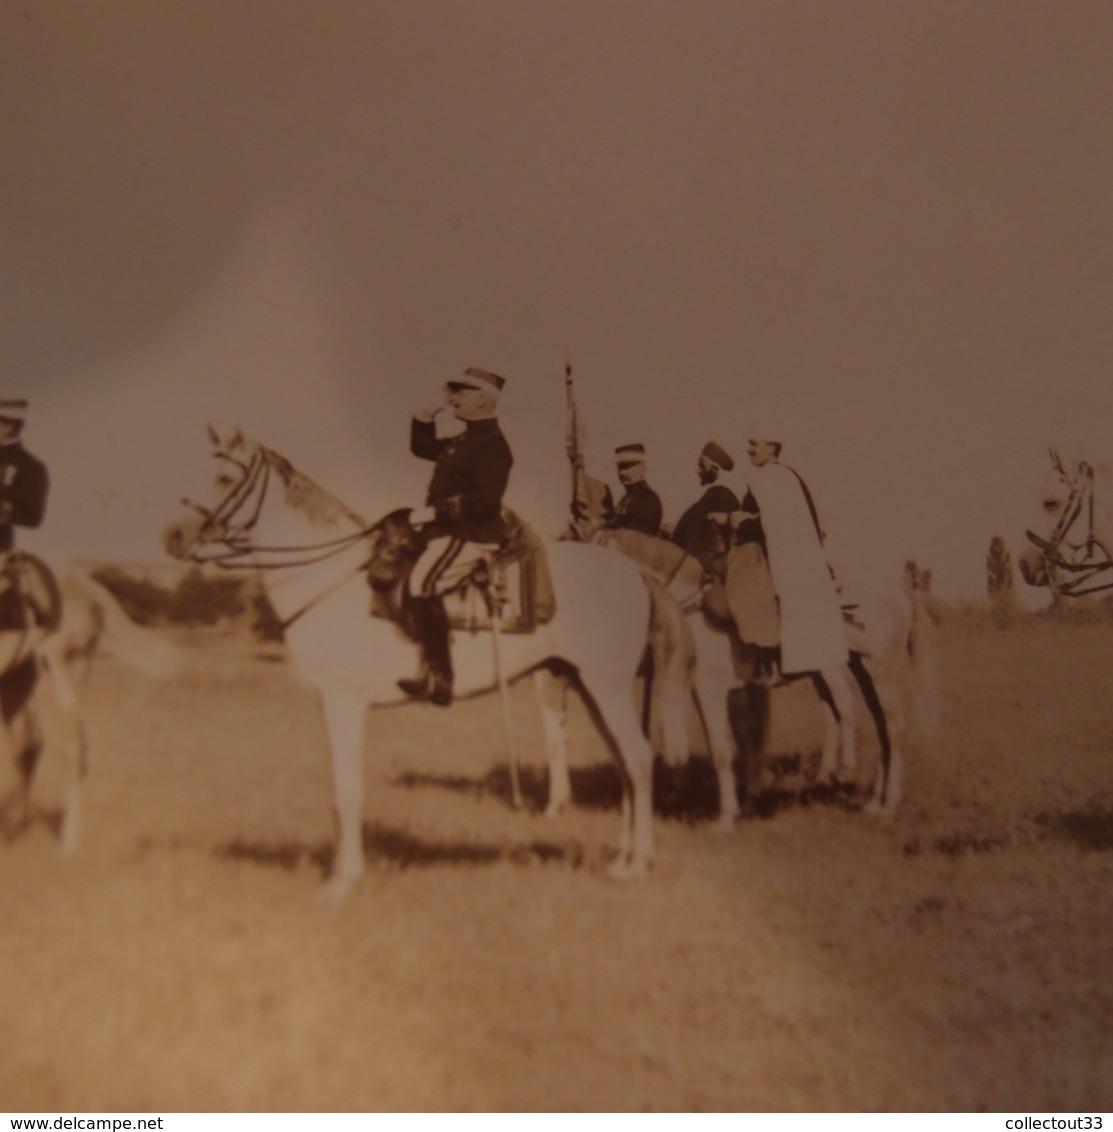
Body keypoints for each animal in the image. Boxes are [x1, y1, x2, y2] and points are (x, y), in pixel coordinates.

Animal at [1, 561, 181, 846]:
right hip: (24, 677)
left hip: (62, 659)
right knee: (32, 746)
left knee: (71, 743)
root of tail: (93, 591)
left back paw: (67, 838)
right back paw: (19, 826)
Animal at [163, 425, 697, 892]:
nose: (172, 536)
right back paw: (622, 861)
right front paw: (340, 872)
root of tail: (635, 572)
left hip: (606, 686)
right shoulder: (329, 706)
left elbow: (347, 792)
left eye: (225, 478)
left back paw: (638, 865)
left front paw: (343, 882)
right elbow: (338, 787)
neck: (331, 579)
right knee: (626, 763)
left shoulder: (344, 702)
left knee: (639, 760)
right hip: (589, 686)